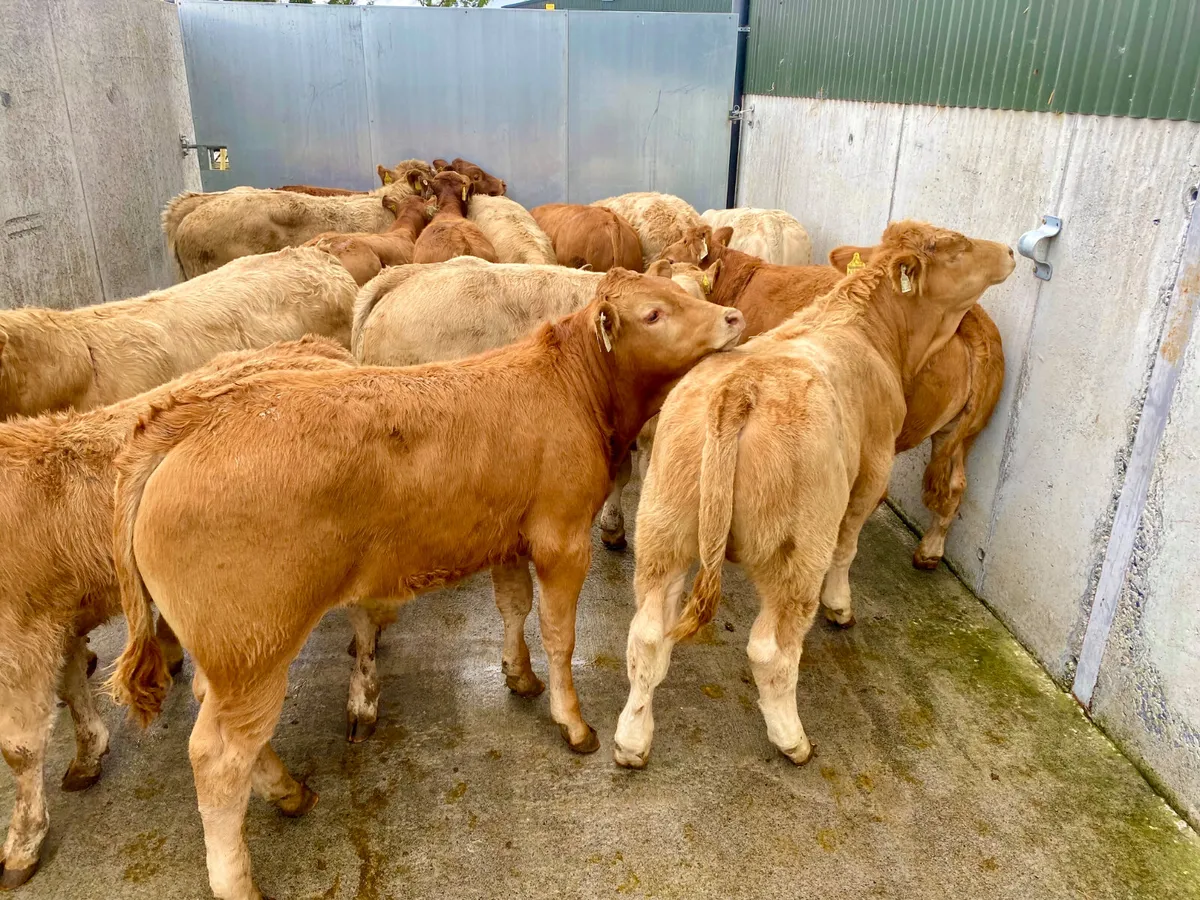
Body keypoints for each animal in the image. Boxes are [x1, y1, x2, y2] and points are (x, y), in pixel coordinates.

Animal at [0, 338, 354, 891]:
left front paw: (22, 844)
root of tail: (314, 346)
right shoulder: (53, 621)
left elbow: (19, 747)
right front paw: (88, 752)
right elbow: (72, 682)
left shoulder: (20, 636)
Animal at [106, 269, 744, 900]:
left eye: (686, 292)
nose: (733, 317)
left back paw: (290, 790)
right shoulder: (561, 538)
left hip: (229, 654)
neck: (569, 386)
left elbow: (513, 608)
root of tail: (188, 421)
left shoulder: (506, 536)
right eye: (654, 314)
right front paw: (572, 720)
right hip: (255, 648)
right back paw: (239, 878)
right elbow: (559, 636)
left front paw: (518, 675)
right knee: (218, 757)